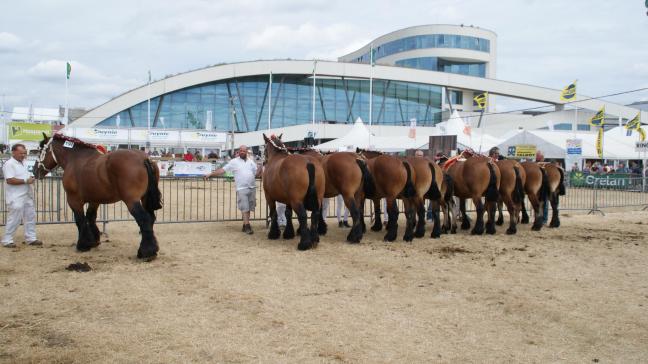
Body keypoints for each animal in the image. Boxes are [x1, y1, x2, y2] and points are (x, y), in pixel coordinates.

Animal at [34, 132, 163, 260]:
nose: (34, 171)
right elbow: (90, 217)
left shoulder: (73, 200)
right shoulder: (95, 200)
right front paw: (94, 241)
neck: (75, 159)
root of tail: (144, 158)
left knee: (144, 219)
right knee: (151, 218)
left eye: (40, 151)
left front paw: (83, 244)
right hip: (145, 198)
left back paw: (145, 252)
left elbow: (80, 220)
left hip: (131, 200)